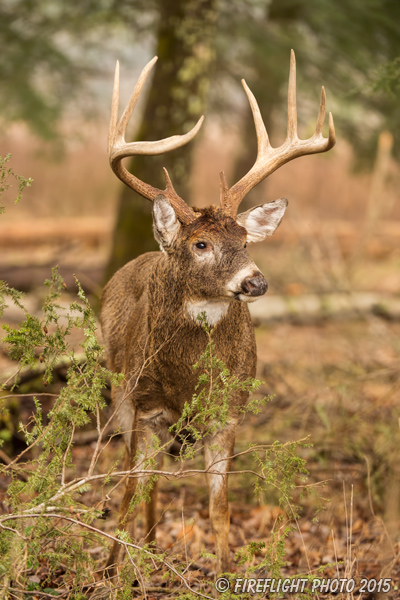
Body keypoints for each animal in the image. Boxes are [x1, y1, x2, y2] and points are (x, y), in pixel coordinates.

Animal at [102, 51, 334, 576]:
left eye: (245, 239)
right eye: (201, 244)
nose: (256, 282)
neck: (188, 380)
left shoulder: (229, 413)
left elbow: (220, 506)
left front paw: (223, 573)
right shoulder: (143, 406)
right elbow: (129, 490)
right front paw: (110, 572)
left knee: (157, 481)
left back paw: (151, 547)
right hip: (119, 394)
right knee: (137, 481)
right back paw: (133, 554)